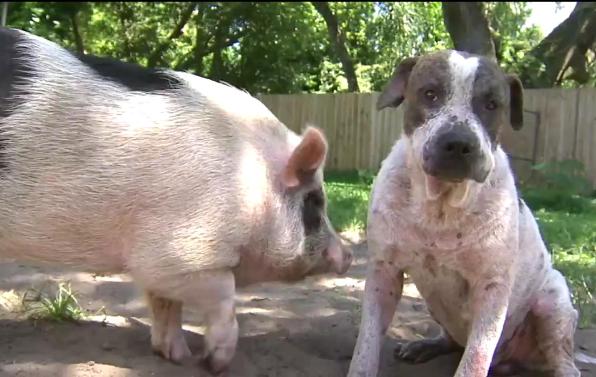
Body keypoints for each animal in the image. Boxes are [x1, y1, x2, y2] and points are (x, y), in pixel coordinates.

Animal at [0, 27, 352, 374]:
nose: (347, 255)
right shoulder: (178, 253)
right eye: (315, 201)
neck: (249, 181)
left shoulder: (167, 264)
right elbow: (222, 296)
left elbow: (165, 304)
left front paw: (176, 357)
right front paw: (213, 363)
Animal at [346, 50, 580, 376]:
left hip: (553, 301)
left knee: (562, 358)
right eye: (430, 94)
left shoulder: (491, 290)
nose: (458, 142)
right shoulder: (384, 273)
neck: (441, 207)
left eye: (492, 104)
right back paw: (425, 345)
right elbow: (365, 346)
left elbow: (474, 359)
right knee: (450, 340)